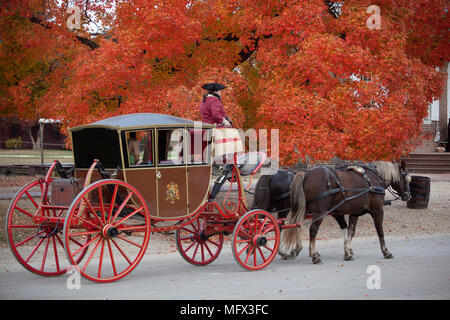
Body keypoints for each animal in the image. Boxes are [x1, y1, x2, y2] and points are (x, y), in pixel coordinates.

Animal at [282, 161, 412, 264]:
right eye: (407, 177)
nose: (408, 196)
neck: (373, 179)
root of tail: (306, 174)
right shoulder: (378, 210)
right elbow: (380, 231)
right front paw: (386, 252)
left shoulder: (354, 213)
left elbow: (351, 232)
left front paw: (347, 252)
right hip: (319, 212)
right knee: (312, 230)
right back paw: (314, 255)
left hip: (303, 209)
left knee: (296, 226)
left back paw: (296, 249)